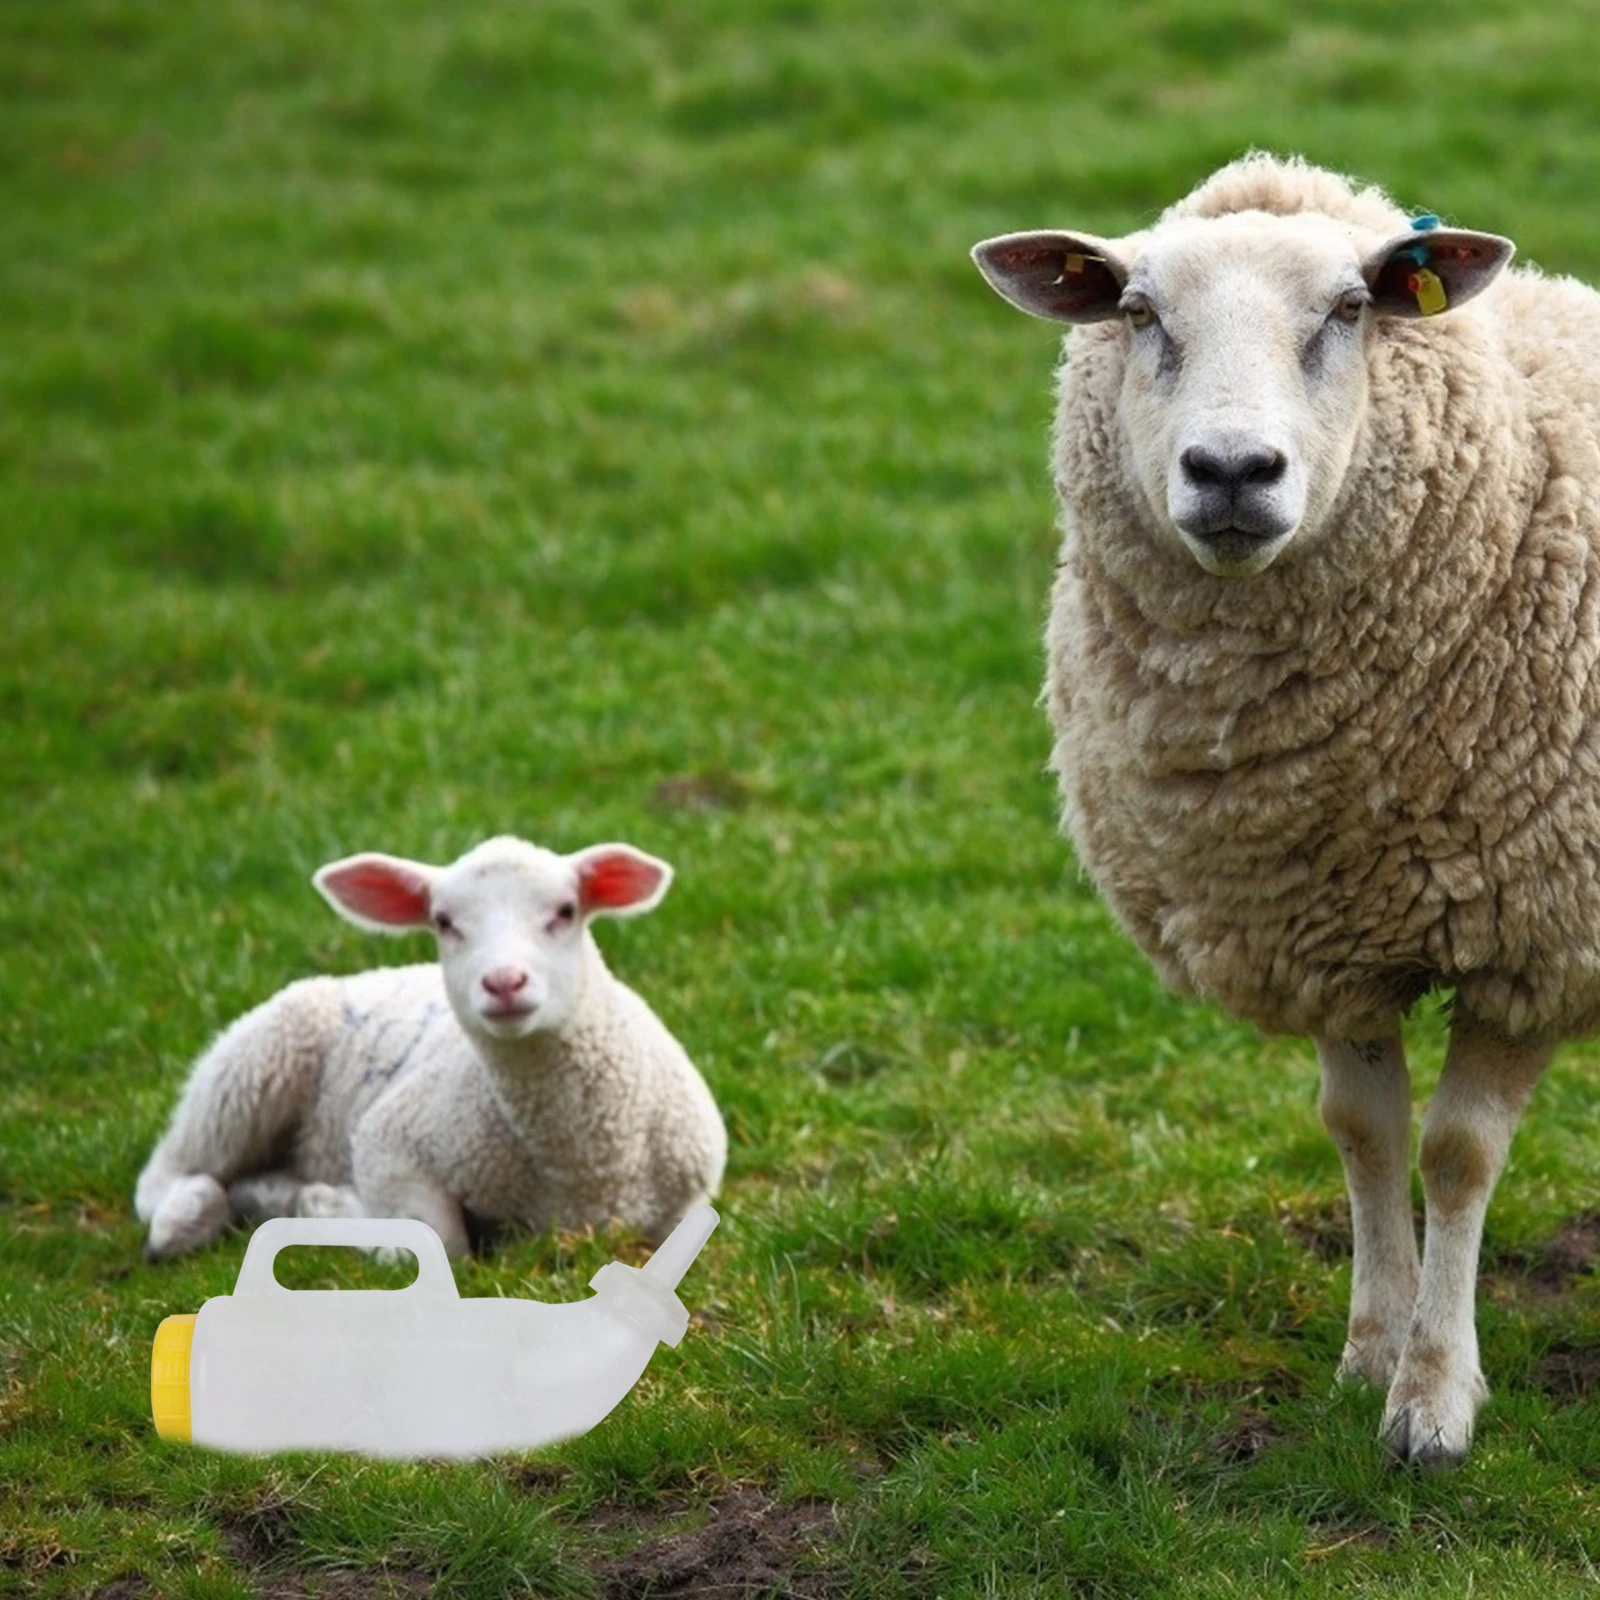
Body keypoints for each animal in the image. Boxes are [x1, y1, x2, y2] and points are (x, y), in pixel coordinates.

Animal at [135, 836, 726, 1262]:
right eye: (443, 922)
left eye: (565, 910)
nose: (504, 982)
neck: (584, 1163)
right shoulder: (390, 1137)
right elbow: (440, 1243)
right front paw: (343, 1210)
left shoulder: (690, 1198)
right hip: (247, 1070)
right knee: (166, 1172)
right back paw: (189, 1216)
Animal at [971, 152, 1600, 1467]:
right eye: (1137, 311)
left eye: (1349, 310)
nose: (1230, 472)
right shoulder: (1320, 924)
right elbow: (1364, 1131)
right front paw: (1367, 1353)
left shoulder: (1537, 930)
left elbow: (1457, 1153)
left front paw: (1433, 1398)